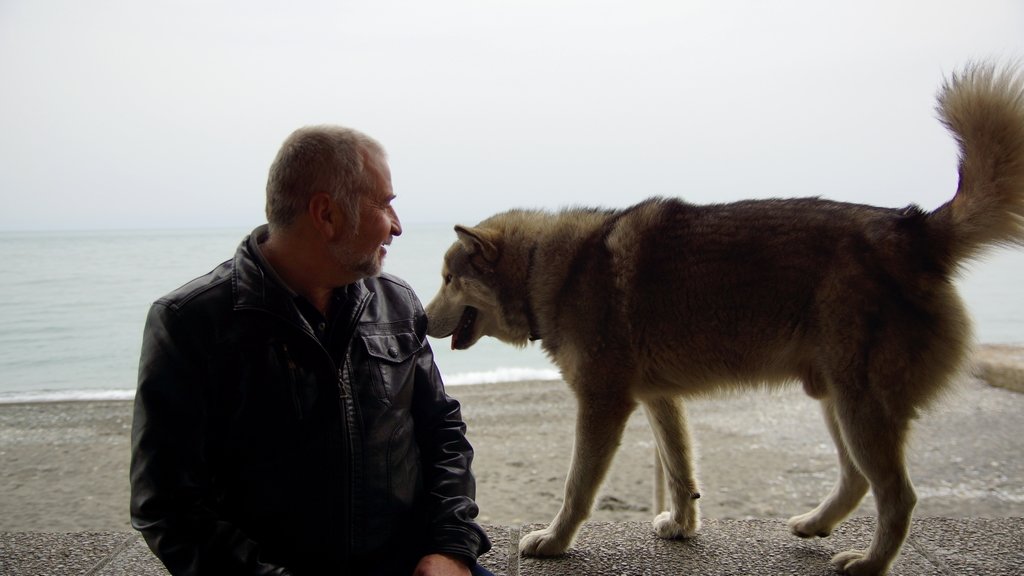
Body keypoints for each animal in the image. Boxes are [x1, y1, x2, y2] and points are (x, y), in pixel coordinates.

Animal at [423, 62, 1024, 573]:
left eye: (449, 278)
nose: (420, 321)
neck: (548, 269)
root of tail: (913, 229)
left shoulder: (602, 403)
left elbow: (577, 487)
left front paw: (554, 540)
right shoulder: (660, 399)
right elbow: (680, 470)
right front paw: (683, 526)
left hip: (860, 406)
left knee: (898, 496)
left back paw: (871, 563)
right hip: (838, 399)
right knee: (857, 481)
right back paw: (815, 524)